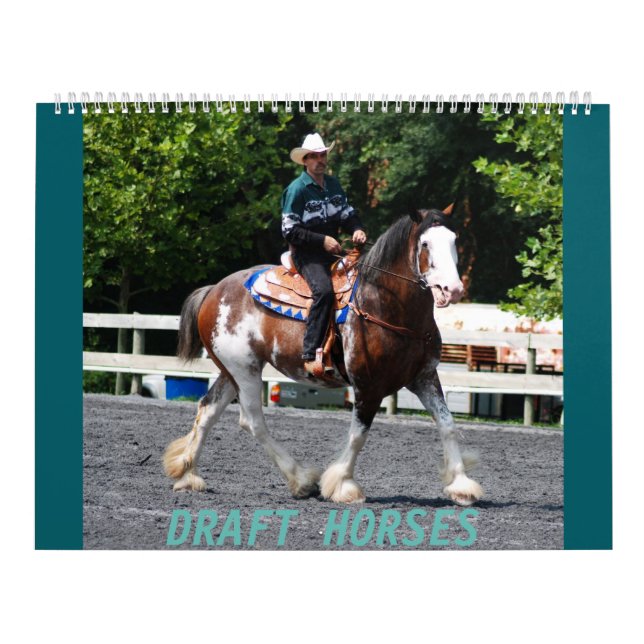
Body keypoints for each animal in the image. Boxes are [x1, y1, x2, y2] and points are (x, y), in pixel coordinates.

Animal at [163, 207, 484, 506]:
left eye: (454, 239)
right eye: (426, 243)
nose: (453, 289)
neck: (383, 304)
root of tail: (213, 290)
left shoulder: (424, 378)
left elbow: (447, 425)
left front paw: (461, 484)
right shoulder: (368, 386)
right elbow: (358, 435)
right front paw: (343, 485)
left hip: (232, 371)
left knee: (208, 410)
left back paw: (187, 474)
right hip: (245, 371)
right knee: (252, 421)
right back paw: (301, 479)